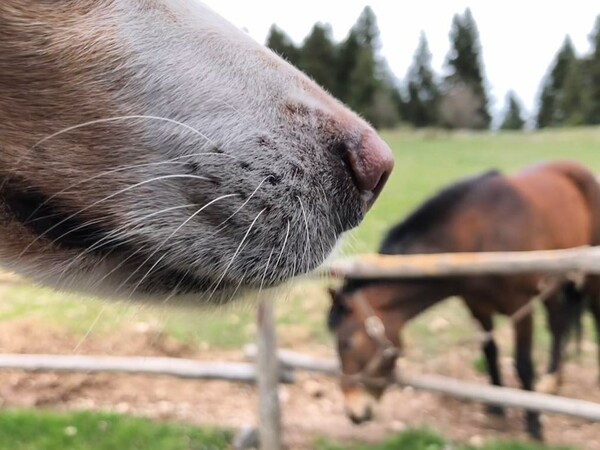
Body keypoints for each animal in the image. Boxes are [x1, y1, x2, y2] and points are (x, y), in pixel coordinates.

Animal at [326, 161, 600, 440]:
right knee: (558, 324)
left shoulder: (521, 308)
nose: (354, 413)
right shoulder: (478, 308)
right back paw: (552, 381)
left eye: (347, 343)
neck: (479, 236)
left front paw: (533, 424)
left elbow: (524, 365)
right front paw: (497, 409)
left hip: (589, 277)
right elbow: (490, 354)